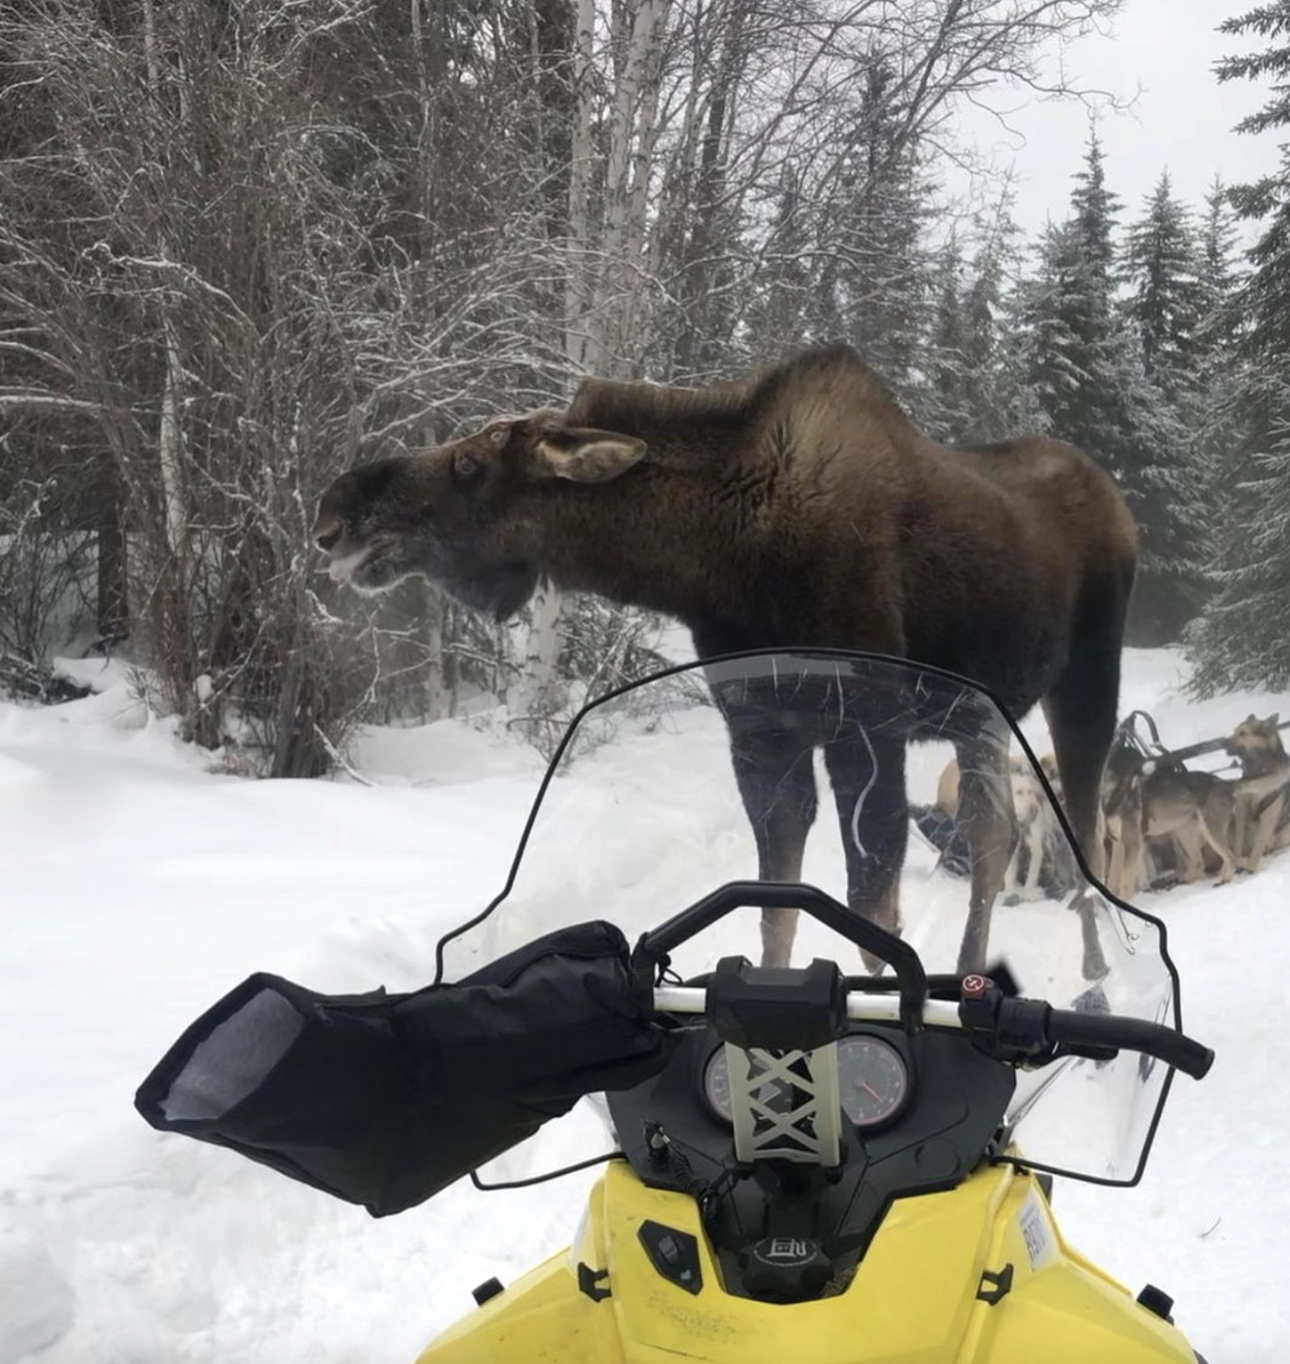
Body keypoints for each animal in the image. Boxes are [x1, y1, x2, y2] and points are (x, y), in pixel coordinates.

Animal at [313, 341, 1134, 982]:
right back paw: (974, 970)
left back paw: (1098, 968)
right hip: (980, 719)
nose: (331, 509)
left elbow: (873, 923)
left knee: (1085, 834)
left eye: (469, 461)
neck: (721, 562)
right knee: (995, 839)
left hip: (1085, 686)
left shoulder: (866, 732)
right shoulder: (761, 738)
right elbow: (778, 910)